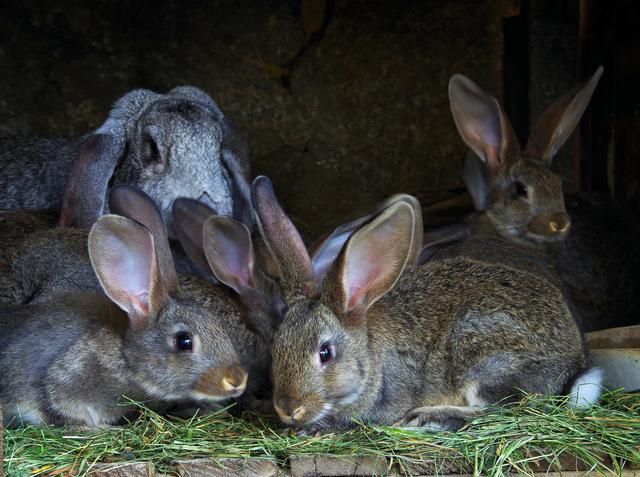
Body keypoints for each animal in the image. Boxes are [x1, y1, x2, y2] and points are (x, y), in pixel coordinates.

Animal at [252, 177, 604, 434]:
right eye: (276, 347)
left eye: (325, 353)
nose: (288, 408)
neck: (369, 360)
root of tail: (576, 361)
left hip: (483, 351)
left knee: (498, 410)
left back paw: (425, 417)